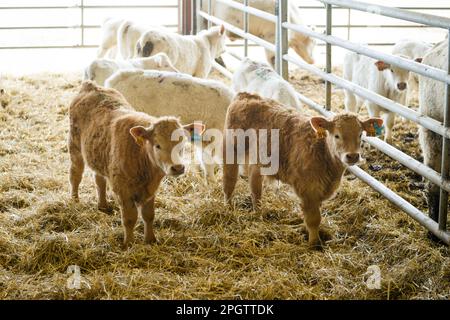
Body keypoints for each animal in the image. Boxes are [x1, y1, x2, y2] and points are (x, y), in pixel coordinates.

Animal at [68, 81, 199, 249]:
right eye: (157, 145)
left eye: (182, 144)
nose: (177, 167)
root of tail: (91, 85)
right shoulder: (123, 190)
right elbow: (130, 218)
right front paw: (128, 243)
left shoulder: (151, 190)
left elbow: (148, 215)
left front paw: (150, 239)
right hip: (75, 148)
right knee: (75, 175)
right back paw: (75, 200)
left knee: (99, 180)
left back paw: (103, 206)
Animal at [223, 92, 382, 248]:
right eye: (337, 135)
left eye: (360, 134)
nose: (353, 156)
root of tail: (246, 95)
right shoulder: (308, 190)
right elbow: (313, 219)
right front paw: (314, 243)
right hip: (231, 149)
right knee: (229, 181)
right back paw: (229, 208)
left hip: (257, 160)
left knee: (255, 186)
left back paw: (258, 212)